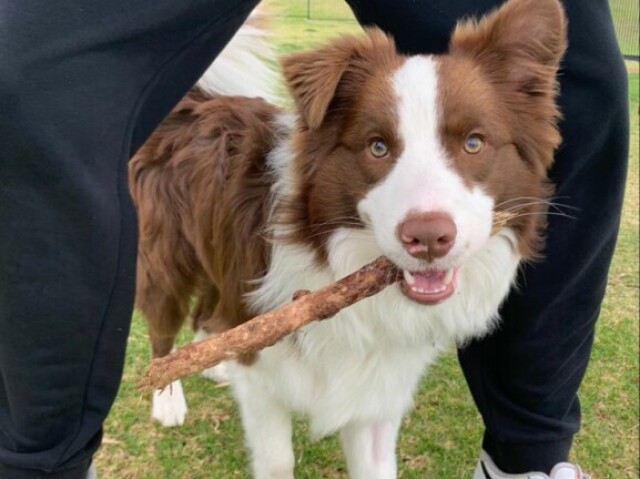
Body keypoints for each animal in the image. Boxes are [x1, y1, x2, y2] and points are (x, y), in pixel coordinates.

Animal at [129, 1, 564, 478]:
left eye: (473, 143)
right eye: (377, 147)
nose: (428, 237)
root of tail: (195, 100)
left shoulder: (374, 391)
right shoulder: (264, 382)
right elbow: (277, 457)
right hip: (164, 253)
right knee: (163, 324)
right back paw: (168, 399)